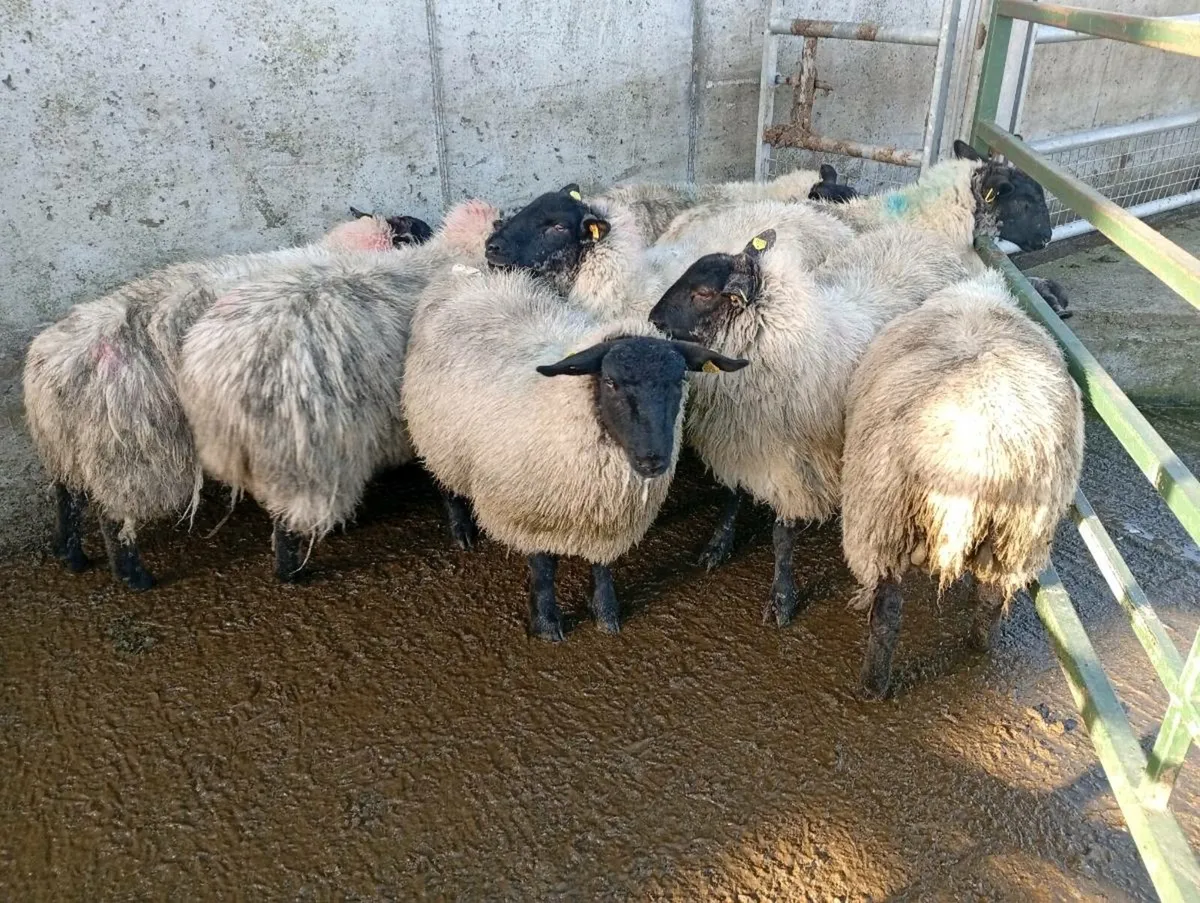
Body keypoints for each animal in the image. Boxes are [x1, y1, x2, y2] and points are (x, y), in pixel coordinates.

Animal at [22, 210, 407, 590]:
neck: (340, 253)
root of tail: (56, 366)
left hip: (65, 447)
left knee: (67, 497)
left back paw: (69, 555)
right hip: (129, 456)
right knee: (114, 518)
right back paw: (134, 577)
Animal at [401, 266, 746, 640]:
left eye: (679, 380)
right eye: (610, 382)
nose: (653, 459)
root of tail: (464, 273)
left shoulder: (607, 517)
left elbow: (601, 564)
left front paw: (606, 612)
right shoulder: (529, 516)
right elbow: (543, 569)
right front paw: (547, 623)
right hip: (438, 437)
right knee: (444, 482)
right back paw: (461, 530)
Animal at [649, 222, 978, 625]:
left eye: (704, 293)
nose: (653, 319)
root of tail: (928, 237)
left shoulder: (796, 466)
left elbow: (781, 535)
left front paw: (782, 598)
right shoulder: (737, 441)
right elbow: (731, 497)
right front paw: (717, 544)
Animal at [841, 269, 1084, 699]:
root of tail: (978, 459)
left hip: (881, 521)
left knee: (886, 614)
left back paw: (873, 686)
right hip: (1015, 537)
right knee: (990, 598)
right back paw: (979, 644)